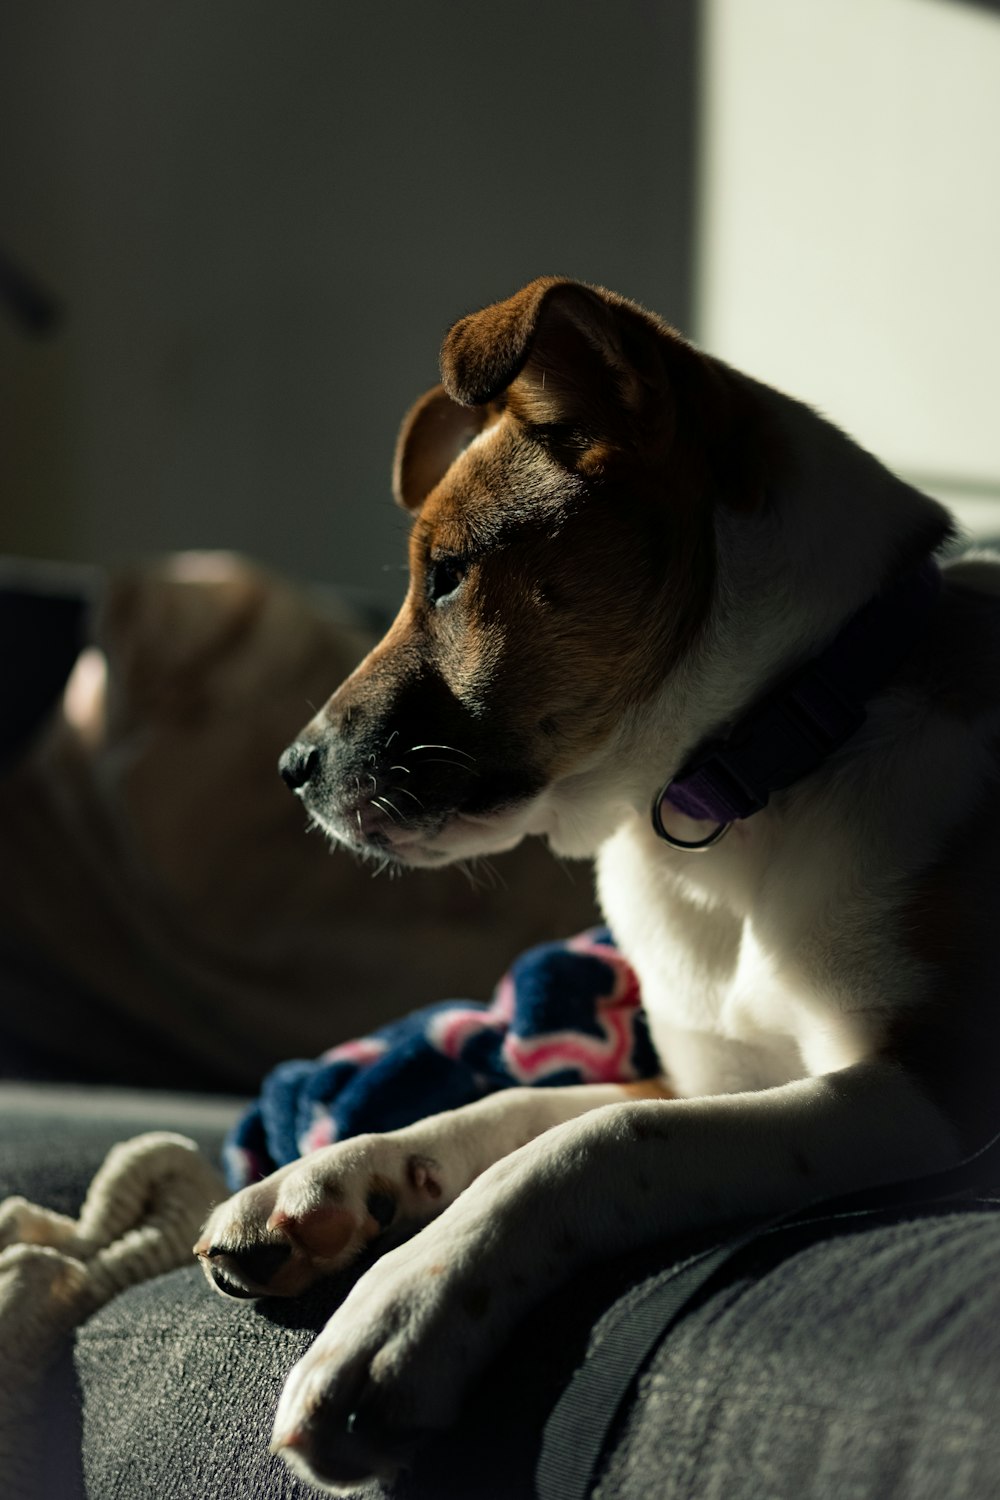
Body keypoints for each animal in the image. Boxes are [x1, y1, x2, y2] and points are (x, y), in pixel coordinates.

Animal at [194, 279, 1000, 1488]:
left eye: (447, 576)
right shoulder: (704, 1078)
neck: (756, 775)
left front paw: (393, 1318)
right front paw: (321, 1186)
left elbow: (589, 1143)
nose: (292, 769)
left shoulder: (930, 1094)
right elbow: (514, 1106)